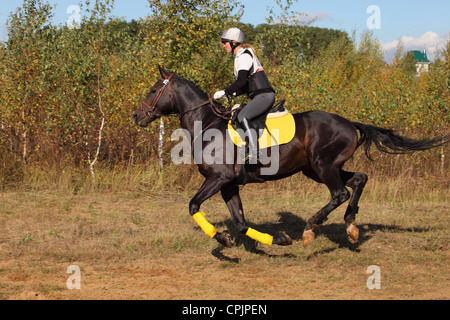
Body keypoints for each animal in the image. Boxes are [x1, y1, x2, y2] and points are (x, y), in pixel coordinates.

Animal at [133, 66, 446, 249]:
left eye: (153, 90)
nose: (137, 116)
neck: (207, 124)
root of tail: (349, 123)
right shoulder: (229, 184)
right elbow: (241, 222)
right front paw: (276, 239)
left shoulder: (219, 178)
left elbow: (194, 205)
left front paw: (221, 237)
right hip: (317, 169)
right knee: (359, 179)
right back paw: (351, 226)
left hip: (323, 166)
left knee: (340, 192)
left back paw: (311, 228)